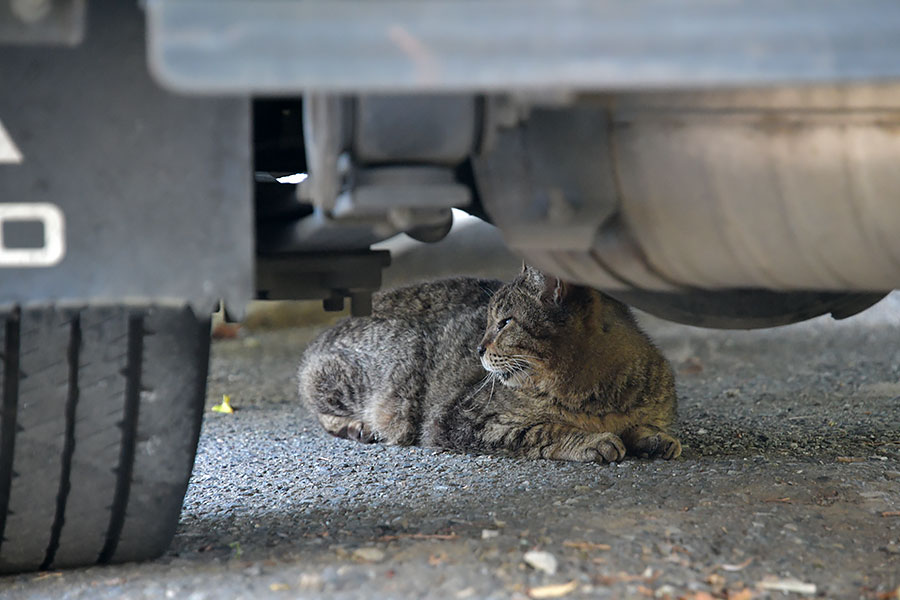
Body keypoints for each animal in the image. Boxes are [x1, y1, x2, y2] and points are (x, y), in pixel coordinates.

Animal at [298, 264, 680, 462]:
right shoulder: (462, 419)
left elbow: (645, 424)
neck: (598, 397)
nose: (479, 348)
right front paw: (589, 441)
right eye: (487, 321)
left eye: (504, 322)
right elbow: (541, 430)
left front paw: (655, 437)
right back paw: (356, 426)